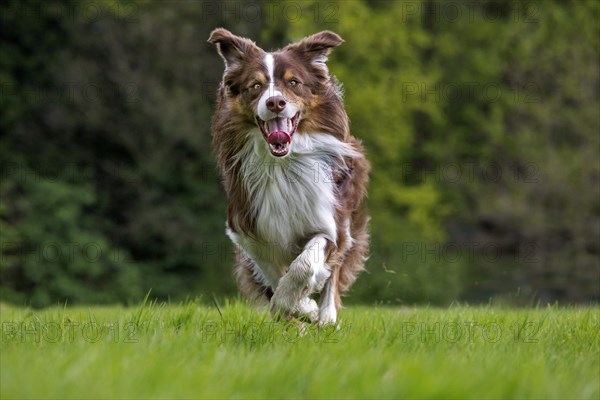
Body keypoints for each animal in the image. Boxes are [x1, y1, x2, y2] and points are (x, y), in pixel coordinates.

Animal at [209, 28, 368, 324]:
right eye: (255, 86)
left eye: (293, 82)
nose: (275, 102)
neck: (281, 165)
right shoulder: (247, 227)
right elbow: (271, 272)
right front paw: (298, 306)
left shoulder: (330, 222)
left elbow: (306, 264)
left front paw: (296, 302)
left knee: (333, 275)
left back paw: (326, 317)